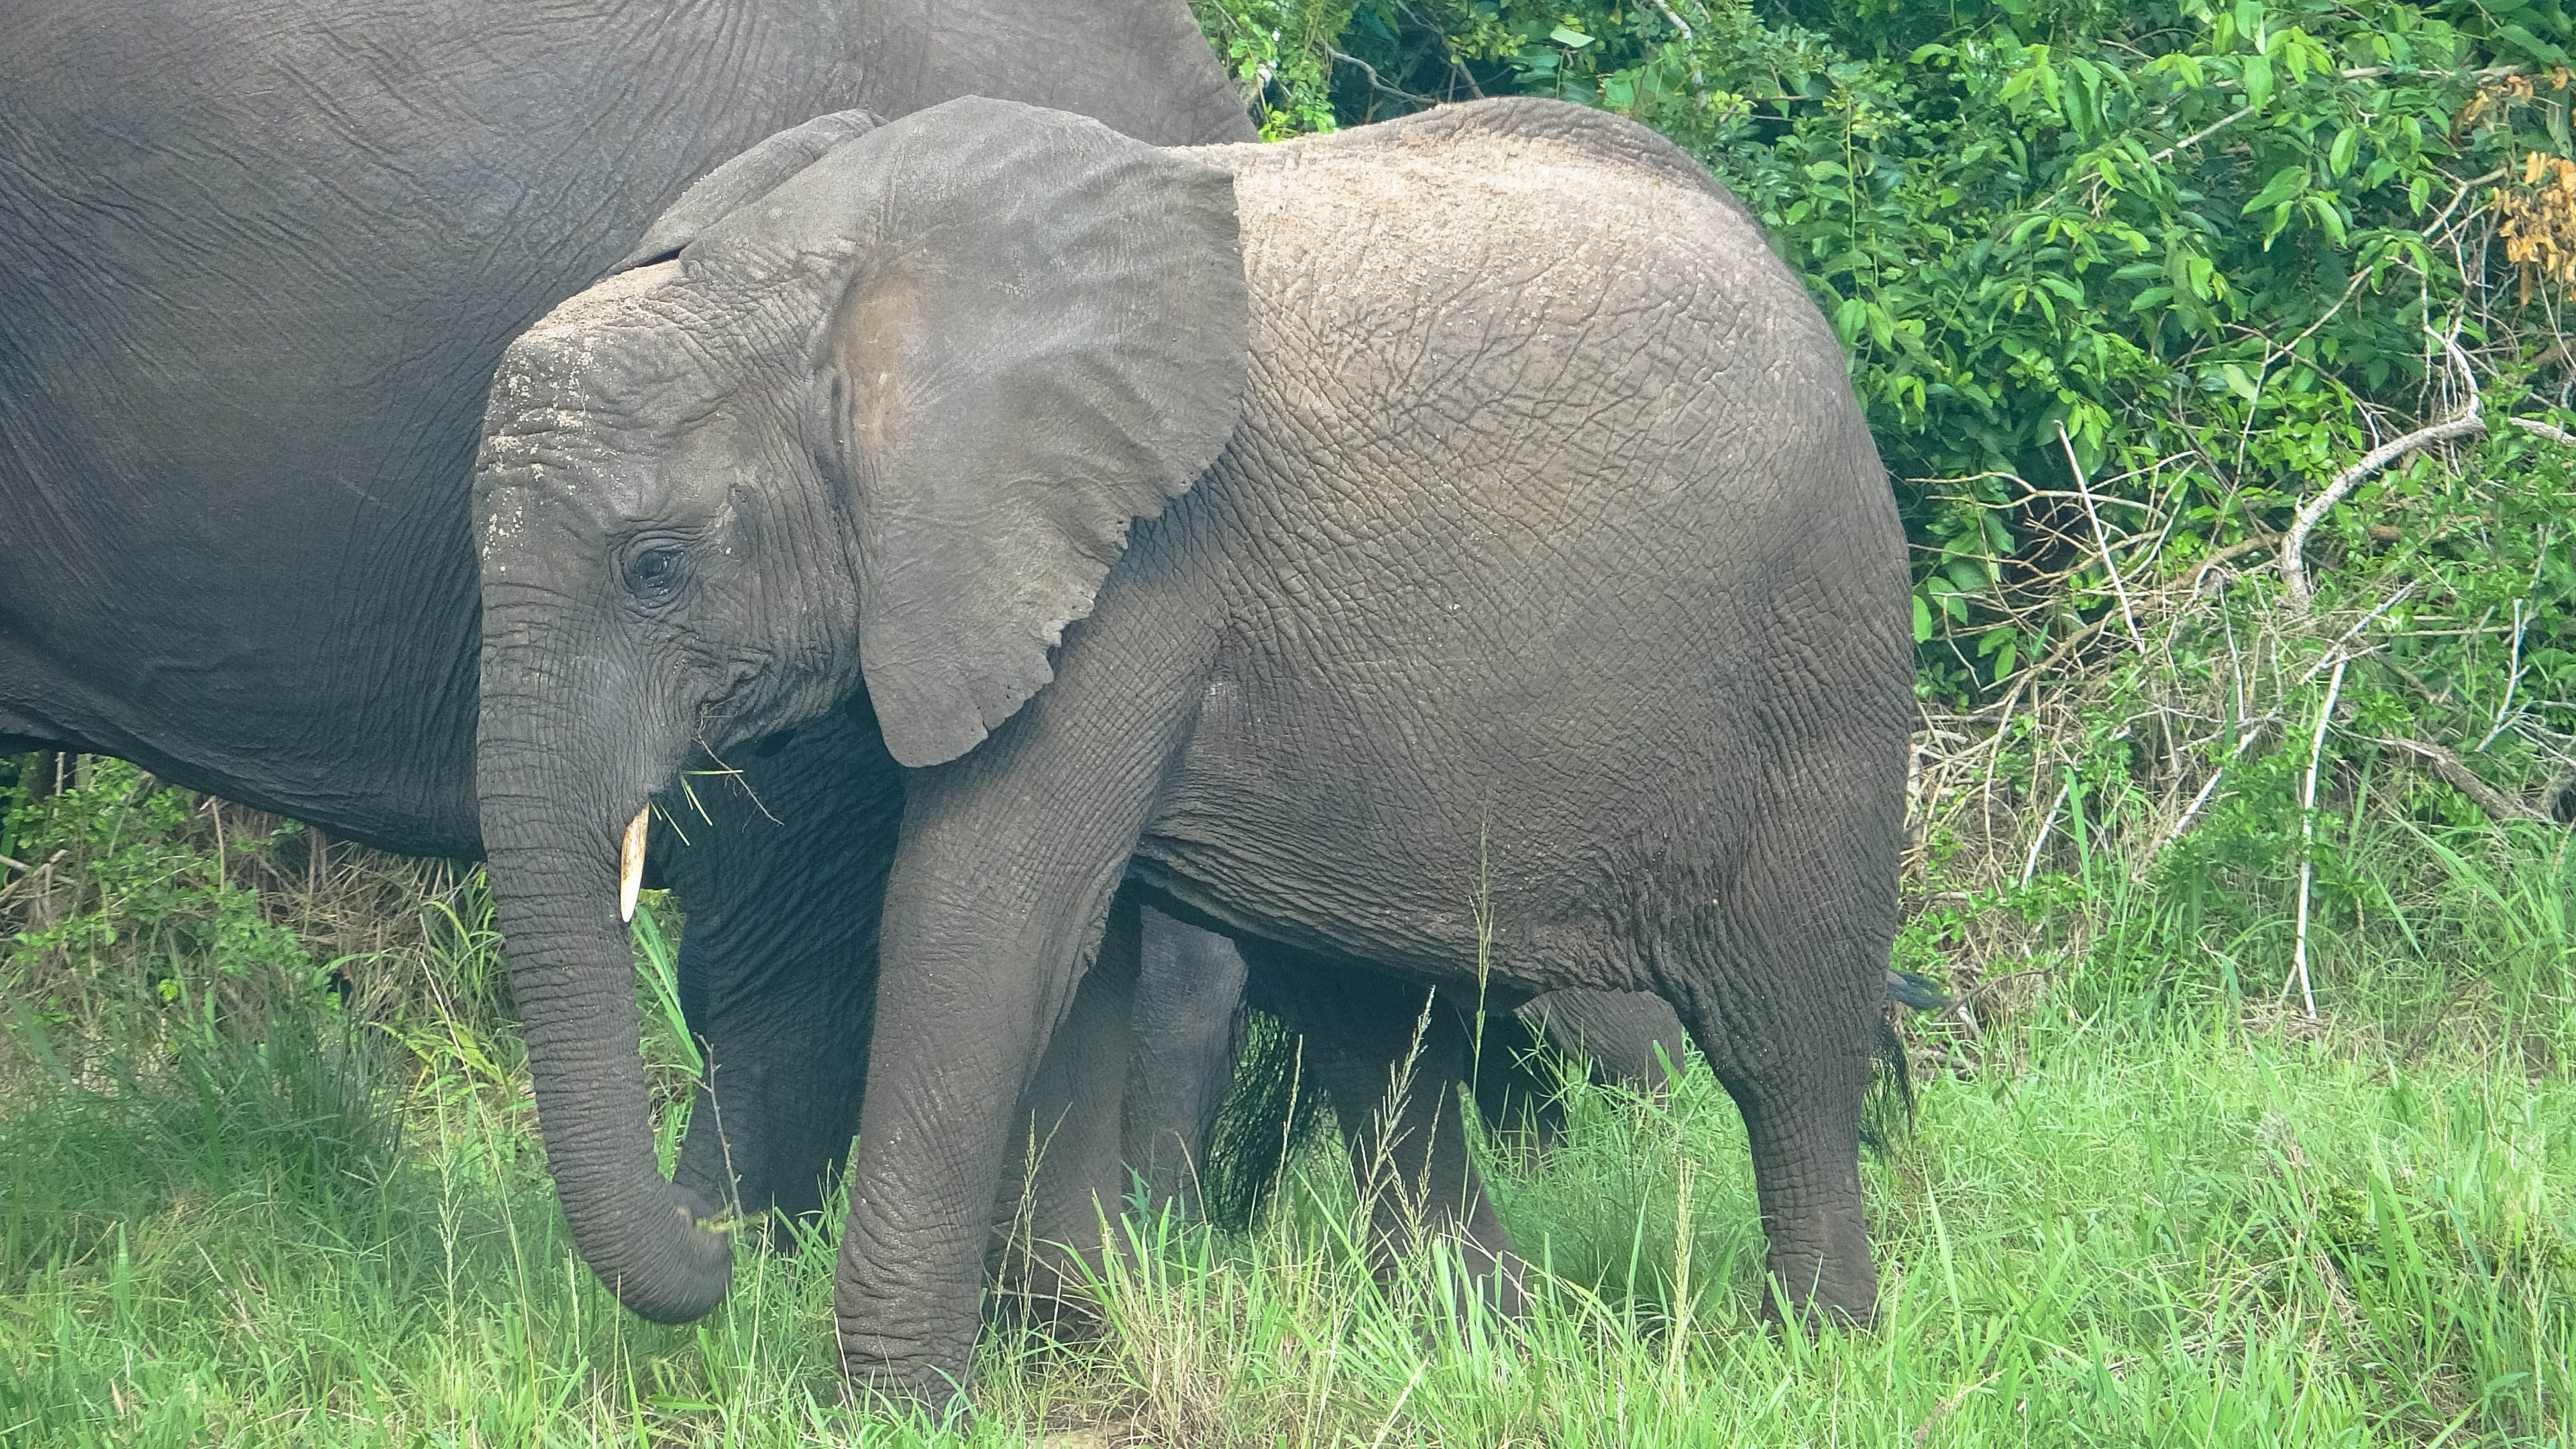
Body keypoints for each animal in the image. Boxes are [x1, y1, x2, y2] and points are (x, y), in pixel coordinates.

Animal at [464, 87, 1916, 1392]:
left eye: (655, 567)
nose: (715, 1249)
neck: (811, 278)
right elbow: (1069, 940)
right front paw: (1089, 1334)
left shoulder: (1135, 563)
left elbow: (981, 915)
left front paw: (896, 1402)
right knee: (1372, 1030)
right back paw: (1491, 1349)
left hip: (1819, 652)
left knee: (1785, 1039)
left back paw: (1811, 1353)